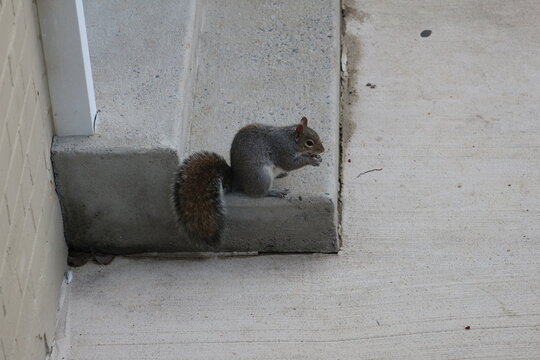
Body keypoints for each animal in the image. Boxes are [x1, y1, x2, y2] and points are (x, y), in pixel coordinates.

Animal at [173, 116, 324, 245]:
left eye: (317, 135)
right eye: (309, 143)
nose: (323, 149)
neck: (290, 140)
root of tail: (237, 180)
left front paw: (316, 157)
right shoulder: (282, 151)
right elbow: (290, 164)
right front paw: (311, 160)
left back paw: (280, 175)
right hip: (261, 176)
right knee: (260, 193)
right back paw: (275, 191)